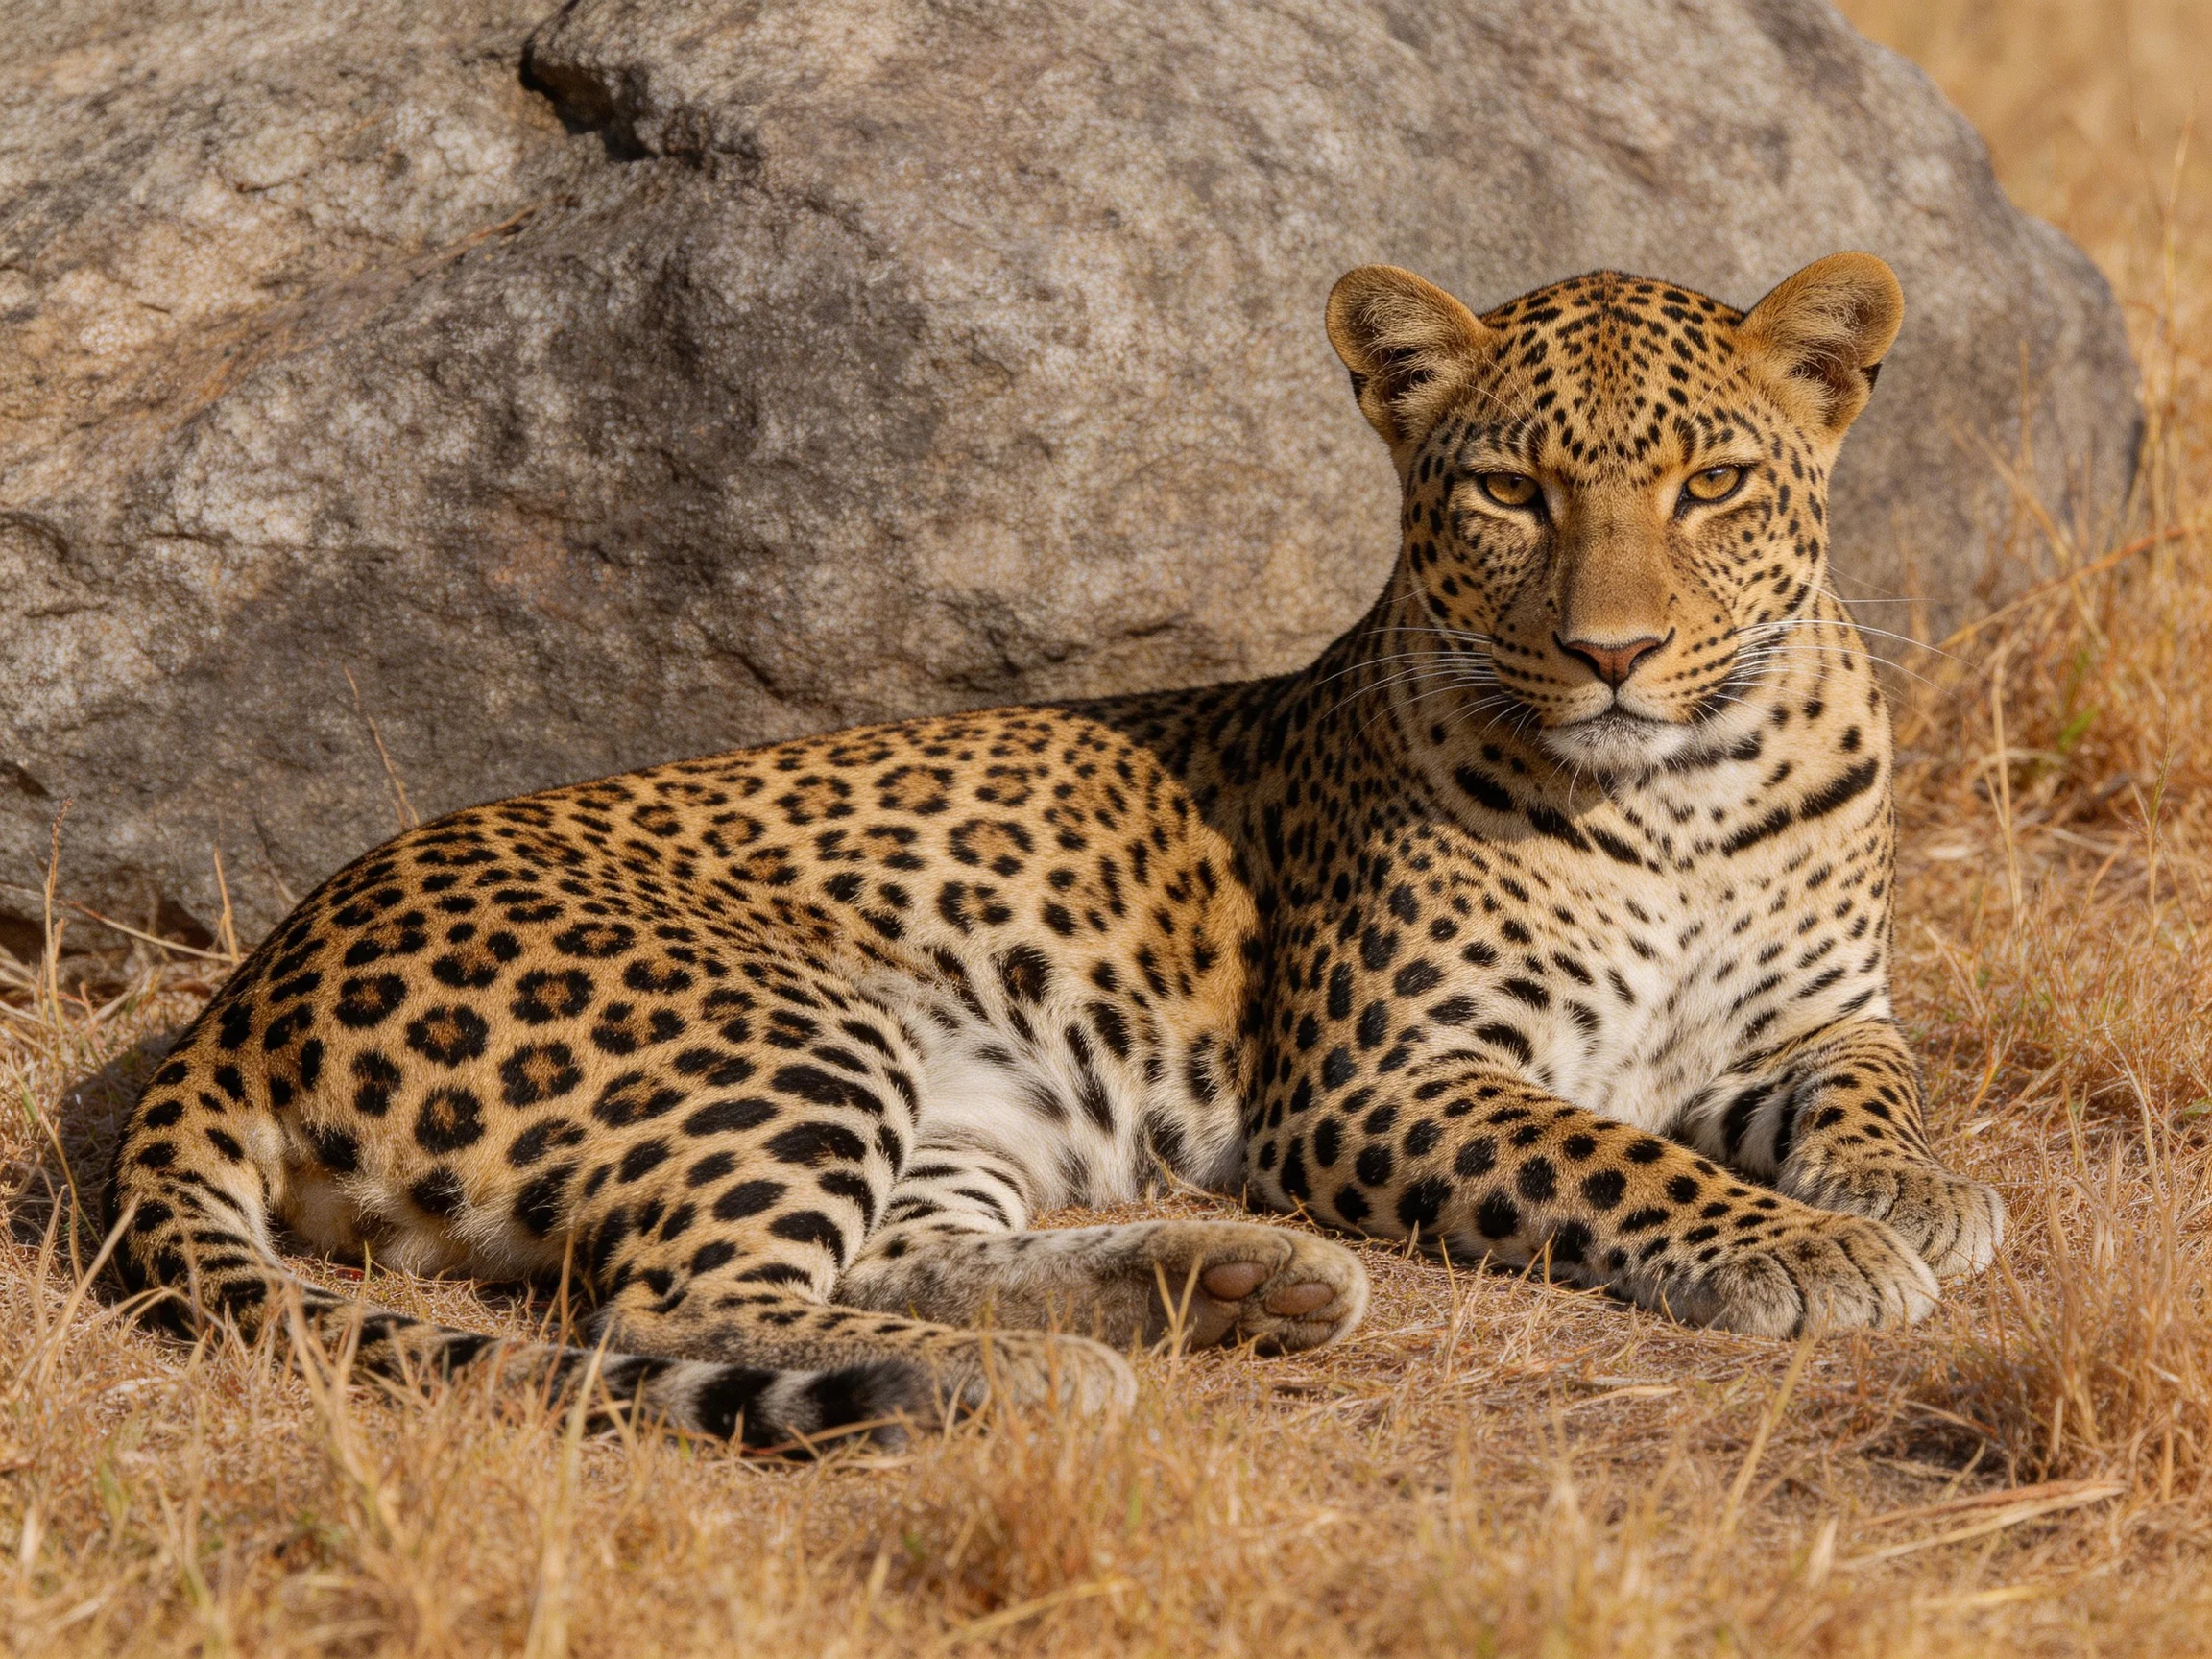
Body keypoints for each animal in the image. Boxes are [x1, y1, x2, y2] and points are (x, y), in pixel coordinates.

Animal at [105, 250, 2004, 1452]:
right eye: (1509, 493)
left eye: (1709, 485)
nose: (1612, 652)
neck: (1677, 798)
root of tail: (245, 988)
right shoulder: (1383, 1078)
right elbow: (1605, 1157)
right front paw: (1803, 1251)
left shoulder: (1819, 1014)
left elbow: (1876, 1086)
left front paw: (1902, 1189)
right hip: (789, 1027)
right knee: (670, 1308)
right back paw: (1003, 1390)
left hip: (965, 1113)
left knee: (889, 1259)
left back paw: (1228, 1279)